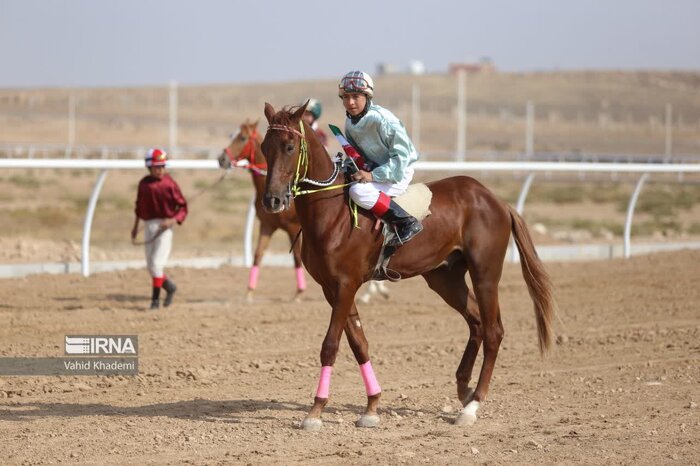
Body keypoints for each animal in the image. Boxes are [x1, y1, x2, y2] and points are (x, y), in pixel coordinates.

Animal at [217, 120, 304, 302]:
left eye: (242, 137)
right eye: (231, 135)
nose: (222, 159)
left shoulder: (293, 228)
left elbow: (297, 257)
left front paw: (299, 293)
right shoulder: (267, 225)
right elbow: (258, 255)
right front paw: (249, 291)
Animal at [260, 104, 556, 432]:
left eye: (289, 146)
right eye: (264, 148)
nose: (272, 200)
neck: (331, 212)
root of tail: (497, 201)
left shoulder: (346, 284)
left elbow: (331, 345)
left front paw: (315, 411)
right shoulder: (332, 288)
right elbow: (359, 343)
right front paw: (372, 406)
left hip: (485, 273)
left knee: (493, 331)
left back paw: (473, 405)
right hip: (444, 278)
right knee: (476, 321)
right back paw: (463, 388)